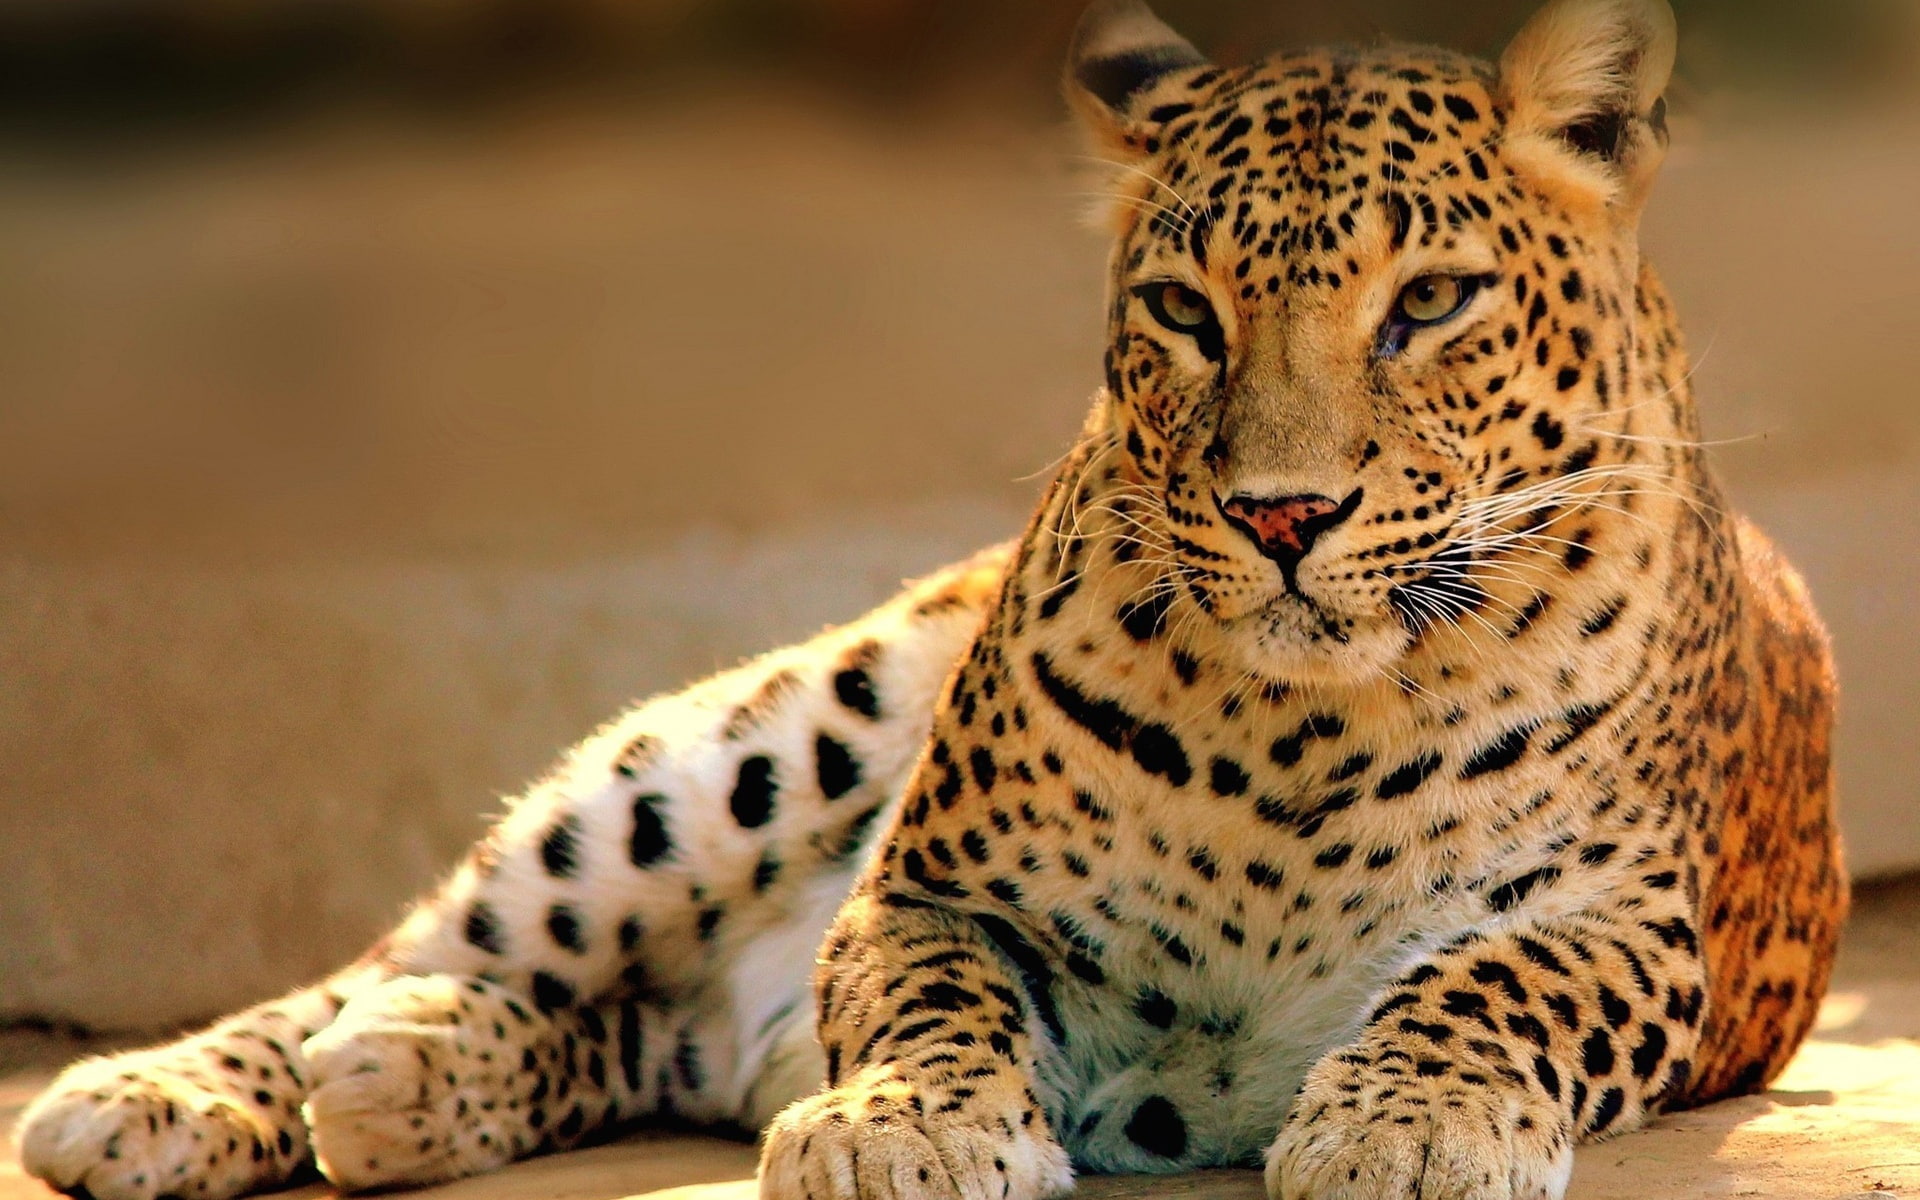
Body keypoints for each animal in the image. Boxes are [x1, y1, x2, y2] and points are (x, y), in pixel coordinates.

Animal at [18, 1, 1845, 1198]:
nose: (1281, 515)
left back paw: (408, 1073)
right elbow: (926, 991)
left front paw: (1409, 1129)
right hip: (777, 735)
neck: (1305, 736)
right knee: (434, 940)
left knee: (623, 1034)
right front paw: (904, 1130)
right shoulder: (935, 887)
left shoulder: (1624, 920)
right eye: (1184, 313)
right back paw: (174, 1093)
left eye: (1432, 303)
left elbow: (1493, 987)